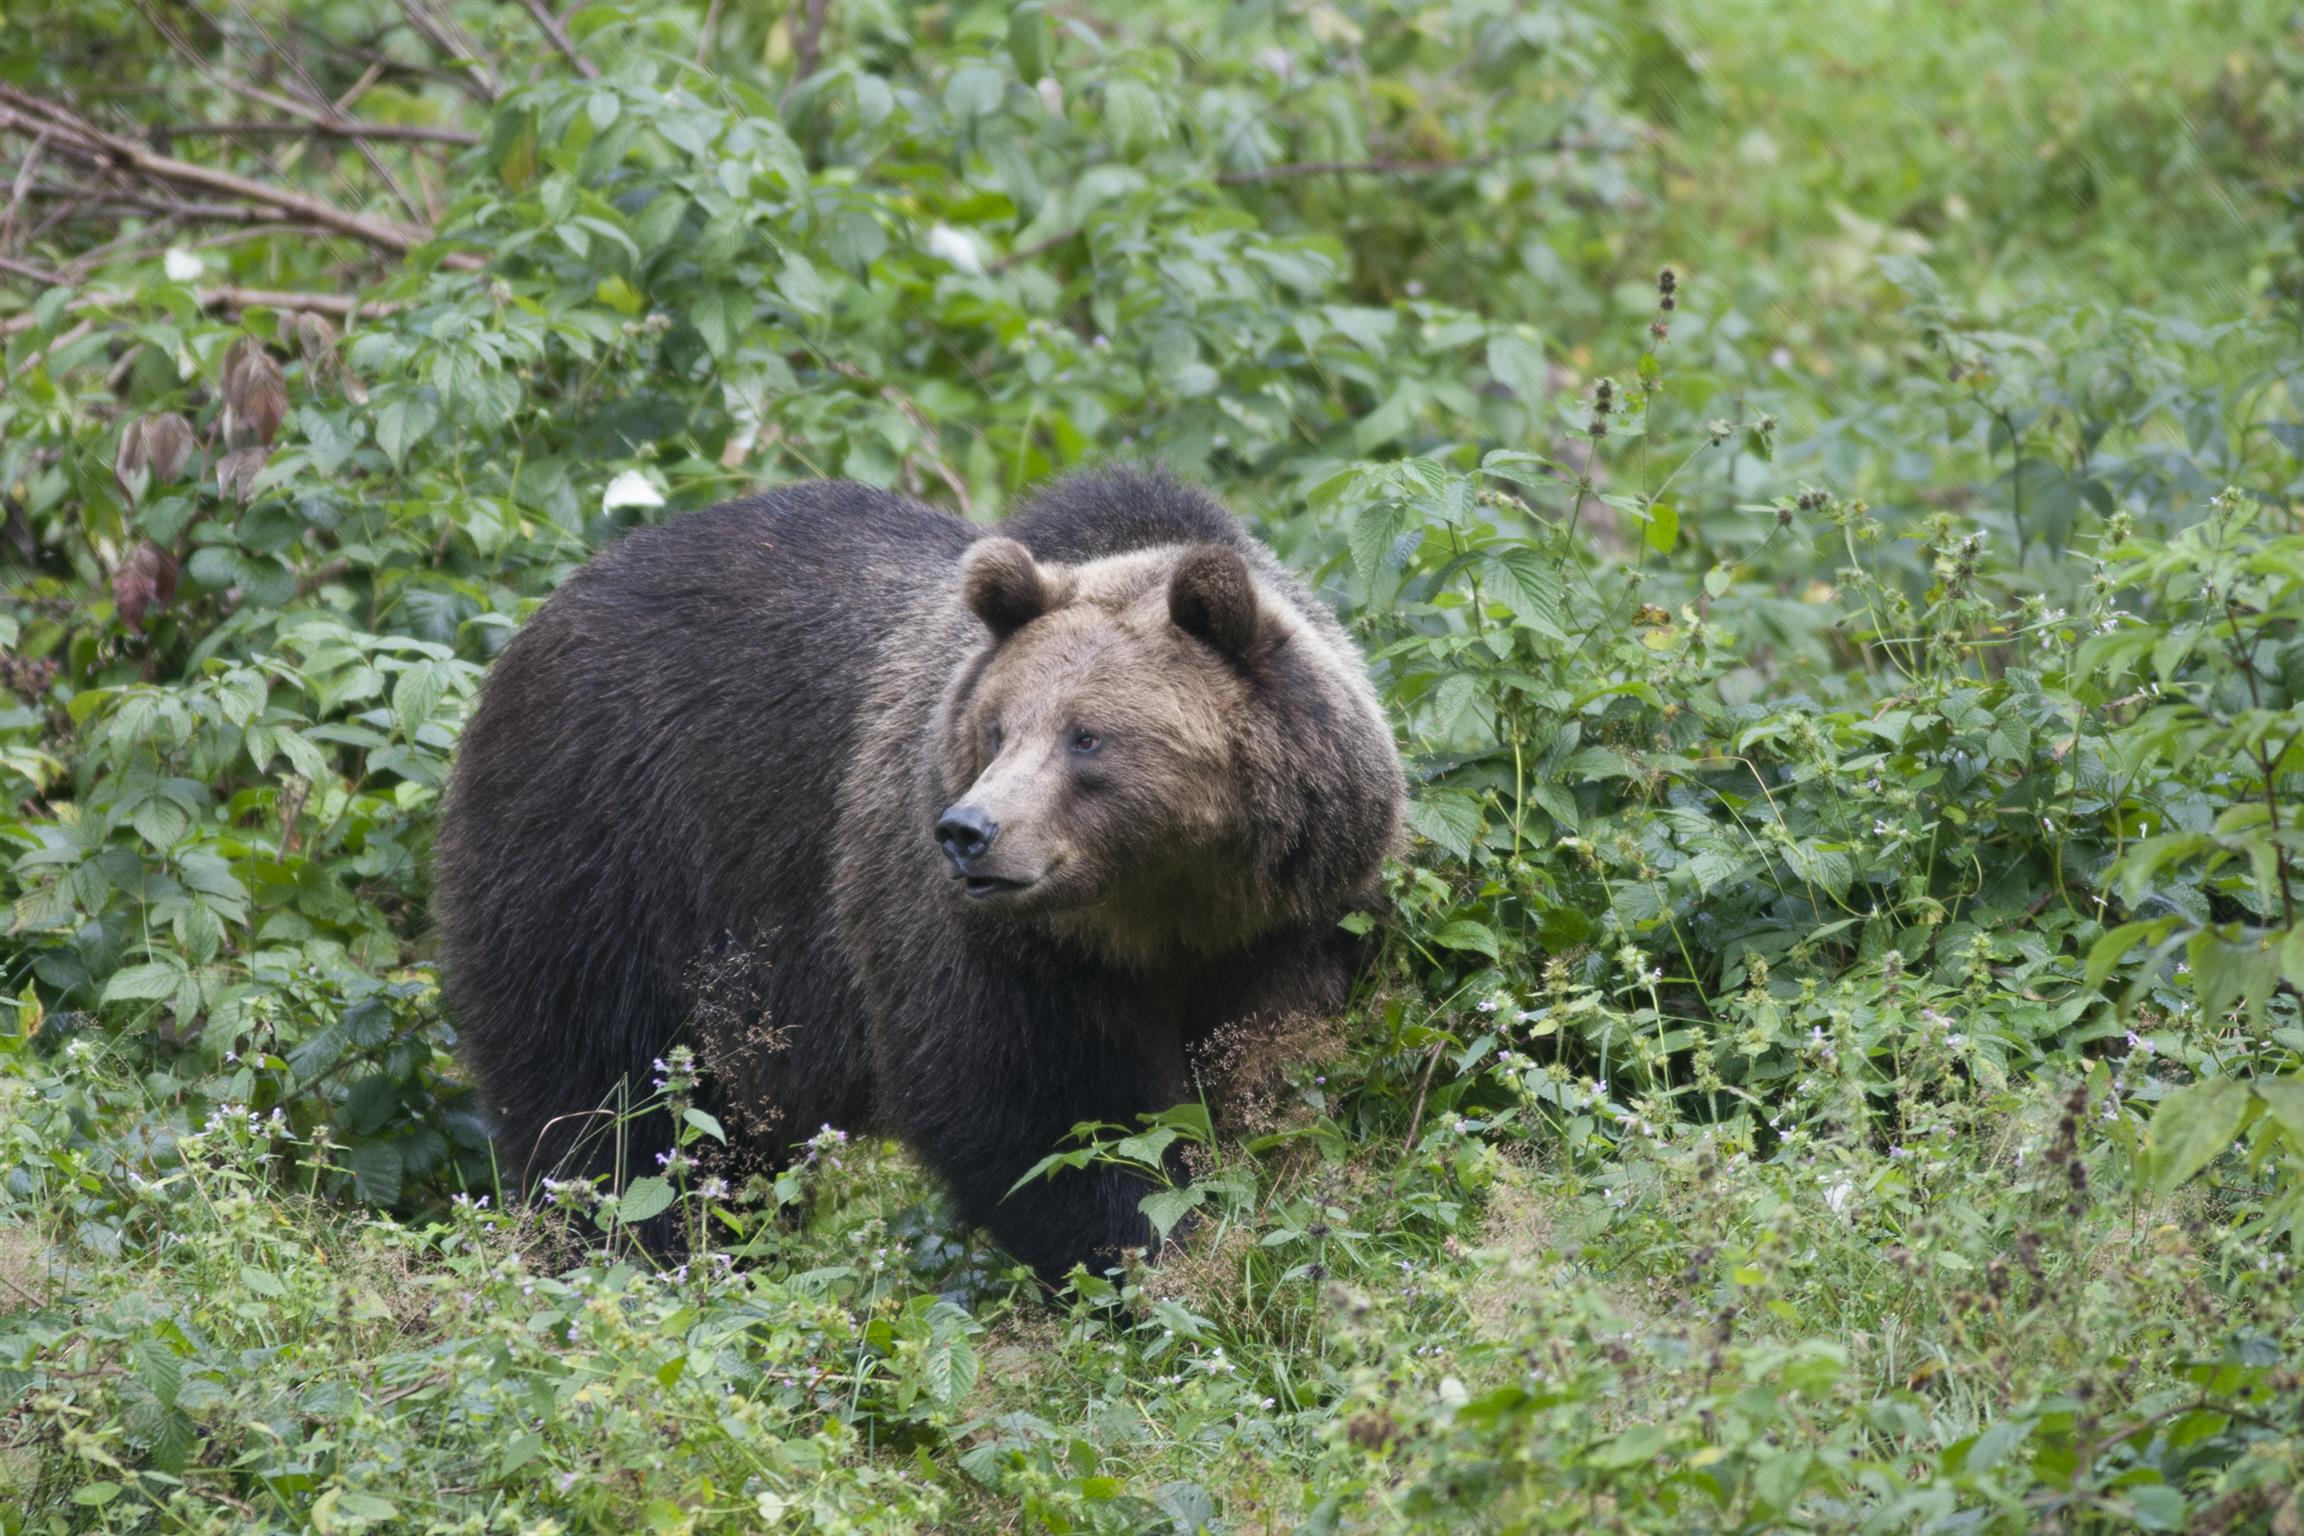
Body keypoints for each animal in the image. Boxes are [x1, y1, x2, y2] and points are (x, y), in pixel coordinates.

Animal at [433, 469, 1400, 1289]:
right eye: (998, 727)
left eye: (1087, 736)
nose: (969, 832)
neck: (1154, 909)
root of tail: (546, 612)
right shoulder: (988, 943)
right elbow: (1033, 1110)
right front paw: (1147, 1251)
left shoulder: (1283, 924)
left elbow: (1271, 1071)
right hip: (605, 854)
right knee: (613, 1101)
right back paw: (654, 1251)